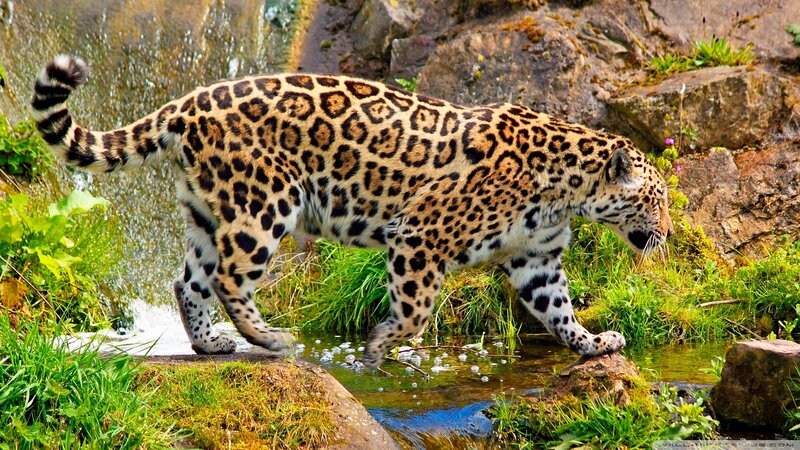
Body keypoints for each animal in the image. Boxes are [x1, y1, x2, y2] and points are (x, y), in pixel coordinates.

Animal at [32, 55, 672, 368]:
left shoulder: (535, 260)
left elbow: (559, 310)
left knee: (188, 279)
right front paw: (379, 347)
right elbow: (416, 311)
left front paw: (594, 344)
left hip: (209, 213)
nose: (666, 234)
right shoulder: (420, 235)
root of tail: (186, 103)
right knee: (230, 277)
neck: (567, 188)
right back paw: (272, 340)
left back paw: (212, 345)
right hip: (264, 202)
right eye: (659, 200)